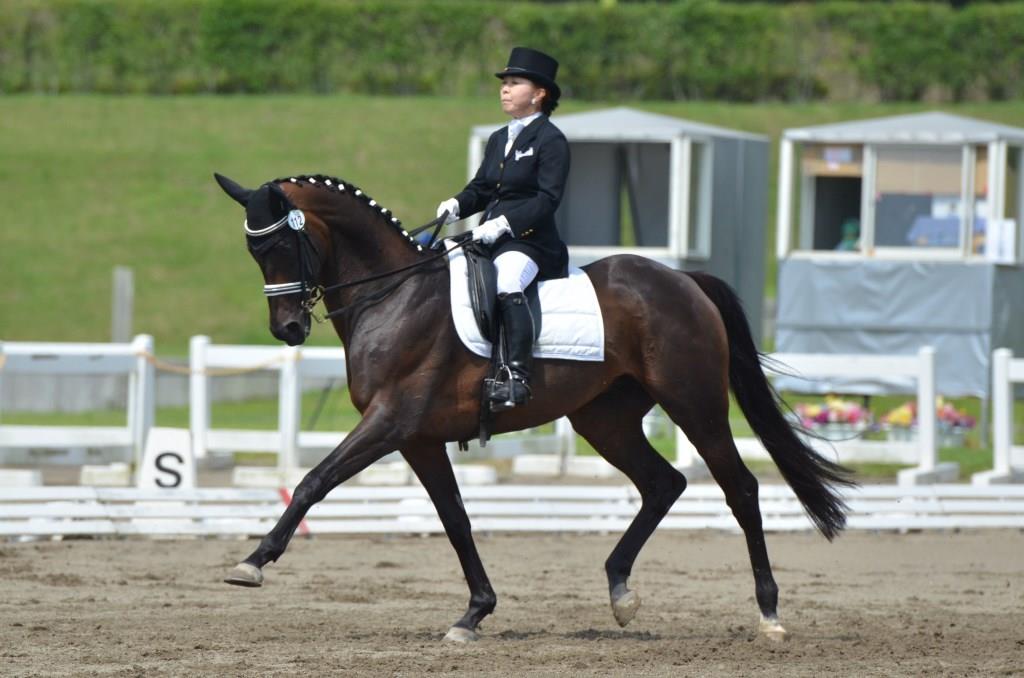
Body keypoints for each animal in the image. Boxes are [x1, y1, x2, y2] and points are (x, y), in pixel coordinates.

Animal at [213, 172, 854, 643]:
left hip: (694, 403)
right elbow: (456, 520)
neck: (393, 294)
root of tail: (683, 280)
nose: (288, 330)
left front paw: (253, 562)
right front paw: (474, 613)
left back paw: (769, 615)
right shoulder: (418, 438)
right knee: (663, 483)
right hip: (604, 418)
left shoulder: (391, 422)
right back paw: (620, 592)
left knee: (740, 488)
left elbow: (314, 480)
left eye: (279, 243)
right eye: (251, 248)